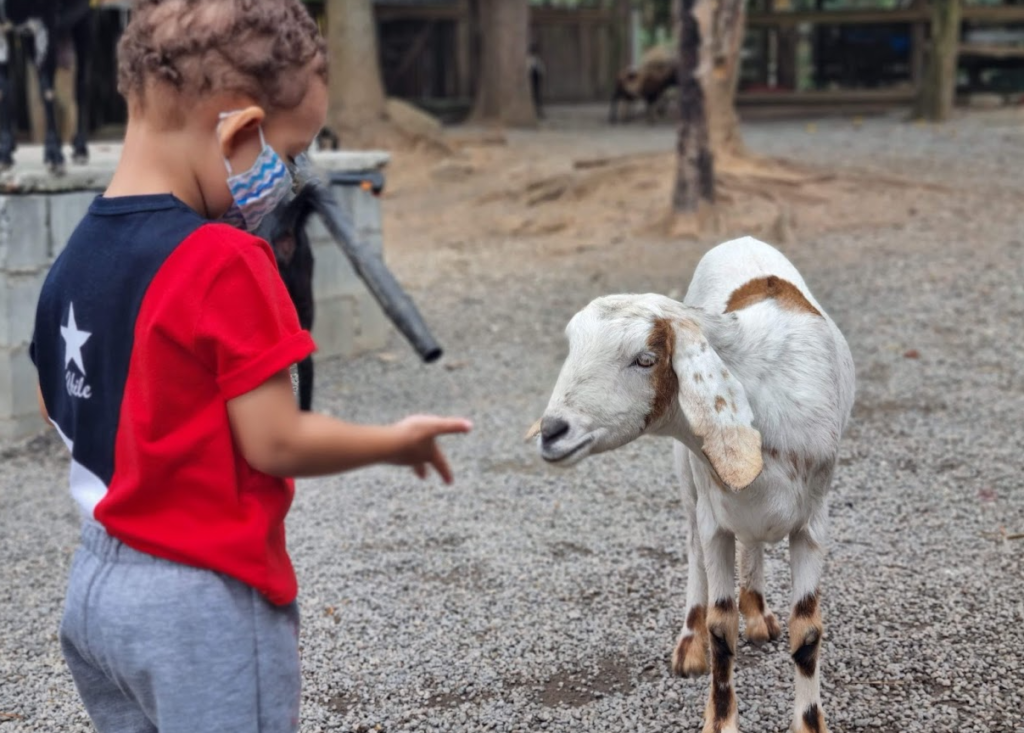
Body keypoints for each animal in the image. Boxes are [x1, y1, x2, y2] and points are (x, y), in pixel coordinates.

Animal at [532, 236, 860, 733]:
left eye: (645, 359)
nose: (552, 431)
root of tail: (742, 239)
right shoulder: (715, 519)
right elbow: (720, 628)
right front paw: (719, 719)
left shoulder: (813, 523)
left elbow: (807, 634)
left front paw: (809, 723)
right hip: (688, 479)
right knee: (692, 550)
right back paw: (690, 644)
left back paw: (758, 612)